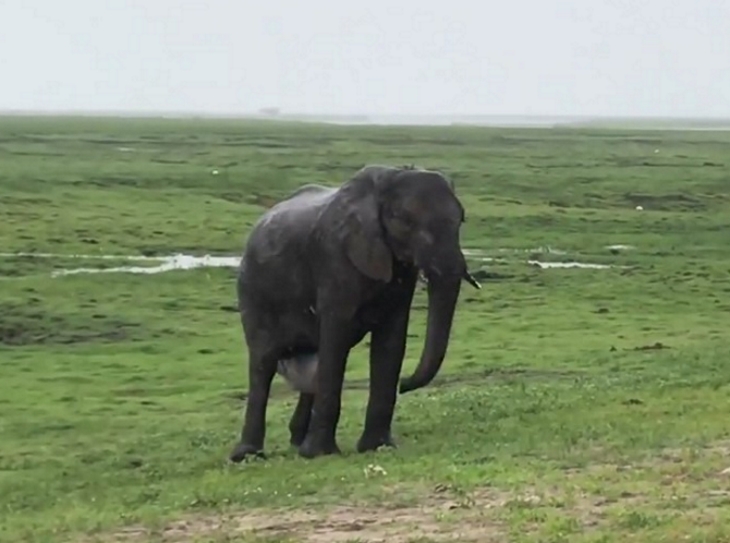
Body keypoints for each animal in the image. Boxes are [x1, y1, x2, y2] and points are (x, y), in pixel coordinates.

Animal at [229, 164, 480, 462]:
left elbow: (391, 341)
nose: (405, 384)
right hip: (253, 292)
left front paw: (378, 446)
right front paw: (320, 454)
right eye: (403, 220)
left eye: (461, 220)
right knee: (263, 362)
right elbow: (335, 339)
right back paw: (248, 456)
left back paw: (297, 441)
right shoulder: (335, 258)